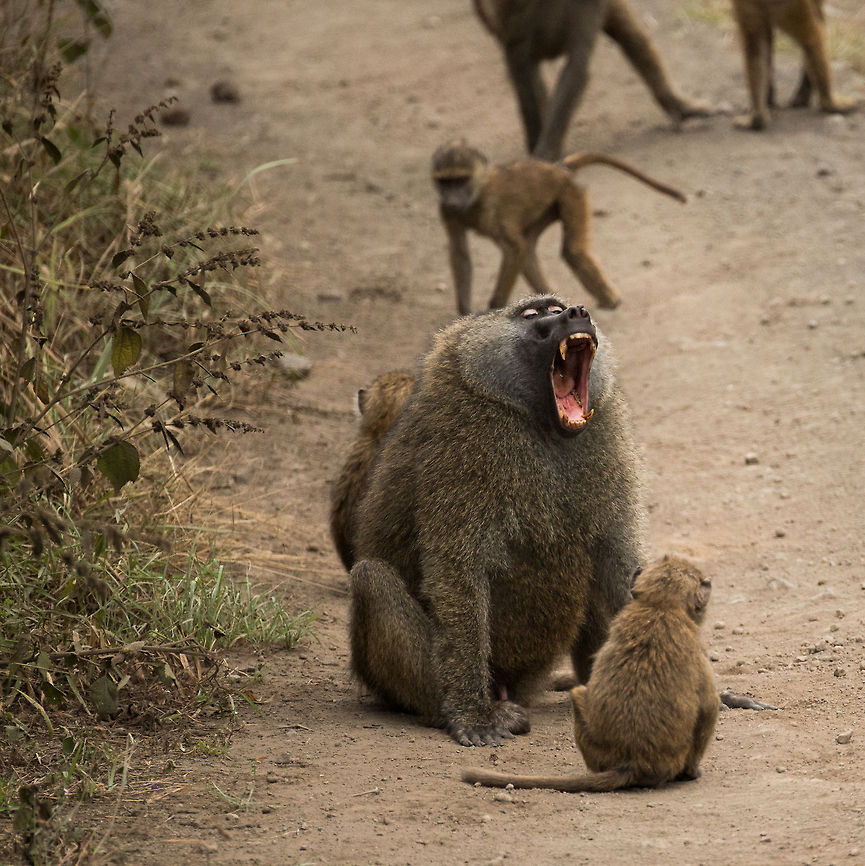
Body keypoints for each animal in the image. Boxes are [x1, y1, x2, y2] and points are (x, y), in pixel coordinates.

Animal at [347, 295, 647, 746]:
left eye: (559, 306)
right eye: (535, 314)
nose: (578, 312)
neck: (539, 423)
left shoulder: (605, 430)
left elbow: (617, 560)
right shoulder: (467, 443)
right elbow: (457, 571)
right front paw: (471, 716)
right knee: (370, 579)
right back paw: (458, 709)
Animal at [431, 139, 685, 315]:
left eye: (460, 180)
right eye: (445, 182)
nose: (452, 200)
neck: (476, 195)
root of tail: (557, 169)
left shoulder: (493, 207)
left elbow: (514, 248)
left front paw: (493, 309)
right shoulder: (445, 211)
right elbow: (460, 253)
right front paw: (464, 313)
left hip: (571, 194)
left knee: (569, 251)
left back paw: (610, 302)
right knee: (529, 253)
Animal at [461, 555, 719, 791]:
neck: (659, 607)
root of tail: (634, 761)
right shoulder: (697, 649)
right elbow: (709, 707)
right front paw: (693, 771)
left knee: (579, 694)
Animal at [472, 0, 714, 160]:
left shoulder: (591, 7)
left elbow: (576, 68)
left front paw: (544, 158)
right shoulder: (515, 23)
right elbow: (522, 67)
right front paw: (538, 162)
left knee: (632, 36)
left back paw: (681, 107)